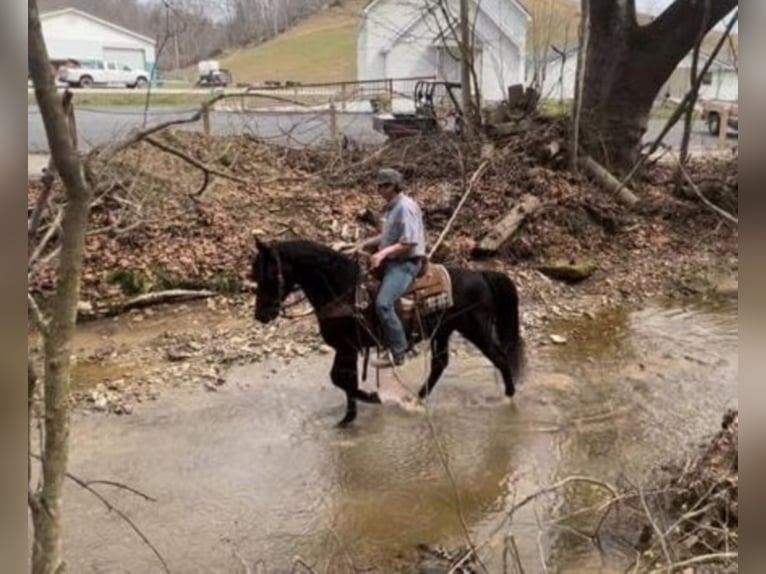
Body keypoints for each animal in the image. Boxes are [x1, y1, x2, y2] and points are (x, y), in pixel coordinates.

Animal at [254, 238, 528, 428]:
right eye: (254, 275)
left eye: (270, 275)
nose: (261, 315)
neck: (344, 291)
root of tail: (481, 274)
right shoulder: (347, 347)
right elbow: (343, 378)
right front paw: (348, 418)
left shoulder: (347, 346)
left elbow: (341, 379)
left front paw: (370, 398)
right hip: (443, 330)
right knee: (440, 364)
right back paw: (416, 400)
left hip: (476, 329)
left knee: (500, 358)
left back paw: (508, 400)